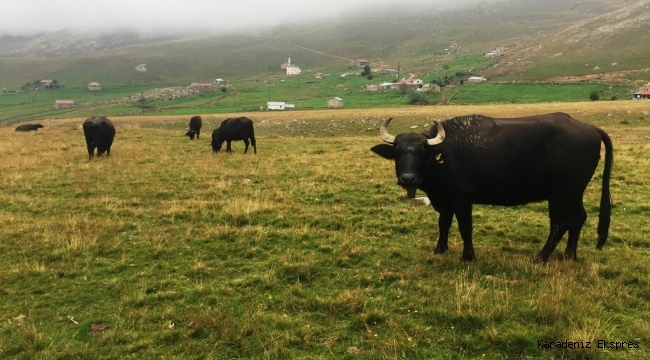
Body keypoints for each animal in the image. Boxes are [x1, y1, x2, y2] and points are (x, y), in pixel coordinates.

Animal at [370, 112, 612, 262]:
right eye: (397, 152)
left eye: (421, 152)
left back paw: (541, 257)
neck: (444, 156)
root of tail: (589, 128)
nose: (408, 179)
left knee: (560, 224)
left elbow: (465, 227)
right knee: (578, 218)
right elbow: (443, 224)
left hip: (561, 194)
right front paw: (440, 248)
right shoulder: (444, 200)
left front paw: (468, 256)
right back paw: (570, 255)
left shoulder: (461, 198)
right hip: (575, 193)